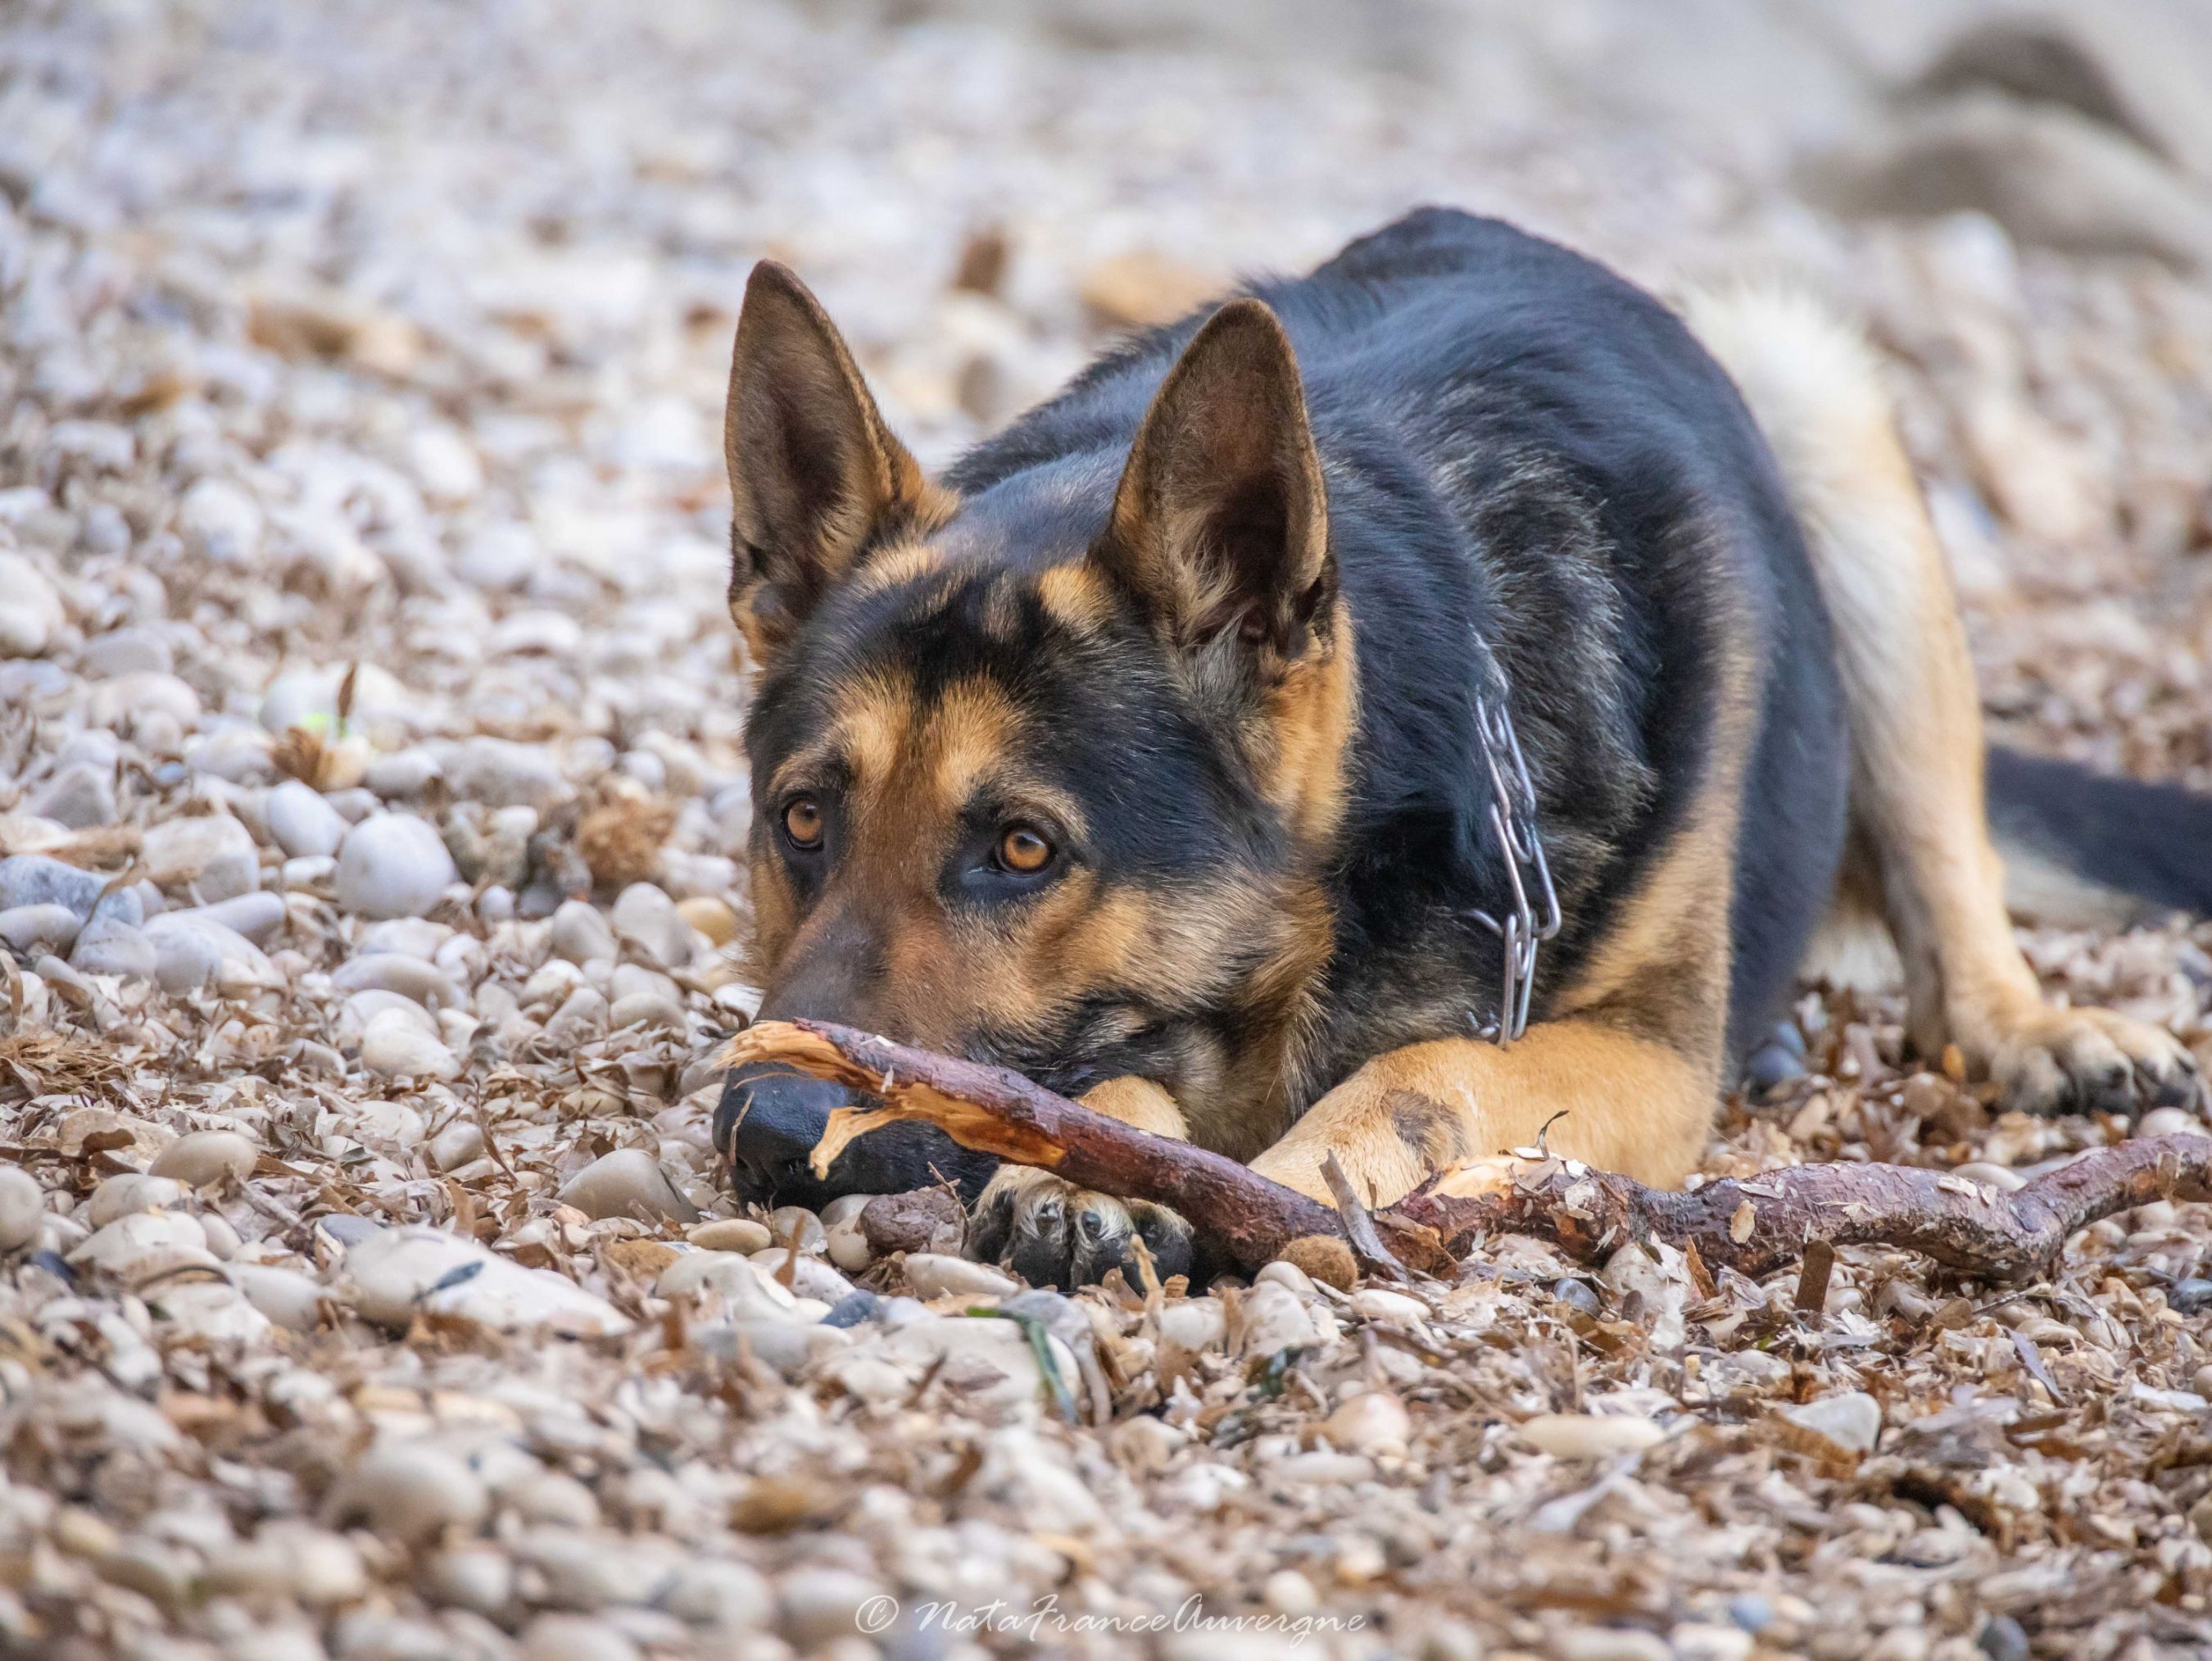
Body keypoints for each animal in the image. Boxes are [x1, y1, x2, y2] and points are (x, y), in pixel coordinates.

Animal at [716, 207, 2203, 1291]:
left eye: (1023, 848)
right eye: (803, 819)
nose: (767, 1134)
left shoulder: (1650, 1050)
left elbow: (1434, 1070)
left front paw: (1284, 1174)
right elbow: (1089, 1083)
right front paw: (1091, 1161)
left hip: (1820, 404)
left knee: (1953, 901)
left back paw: (2037, 1023)